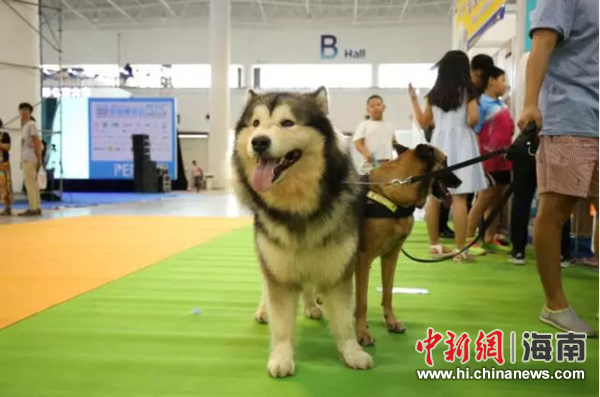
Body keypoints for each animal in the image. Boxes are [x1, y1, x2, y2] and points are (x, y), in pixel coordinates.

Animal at [232, 86, 372, 378]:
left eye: (287, 123)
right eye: (255, 124)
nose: (258, 142)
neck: (298, 207)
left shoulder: (338, 271)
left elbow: (344, 321)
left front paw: (352, 353)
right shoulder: (279, 270)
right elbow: (282, 323)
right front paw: (281, 357)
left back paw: (310, 305)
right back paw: (264, 310)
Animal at [354, 142, 462, 344]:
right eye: (445, 162)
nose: (460, 182)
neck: (395, 195)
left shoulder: (391, 257)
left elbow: (388, 292)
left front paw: (391, 322)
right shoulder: (363, 259)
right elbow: (362, 301)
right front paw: (362, 332)